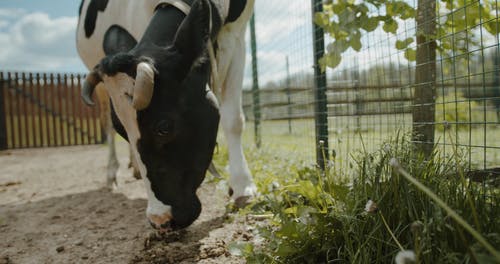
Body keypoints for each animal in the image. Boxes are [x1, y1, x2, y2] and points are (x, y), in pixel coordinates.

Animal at [78, 0, 260, 230]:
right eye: (122, 131)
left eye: (163, 128)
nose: (160, 219)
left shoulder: (236, 33)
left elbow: (233, 119)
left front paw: (243, 187)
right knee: (105, 123)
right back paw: (112, 173)